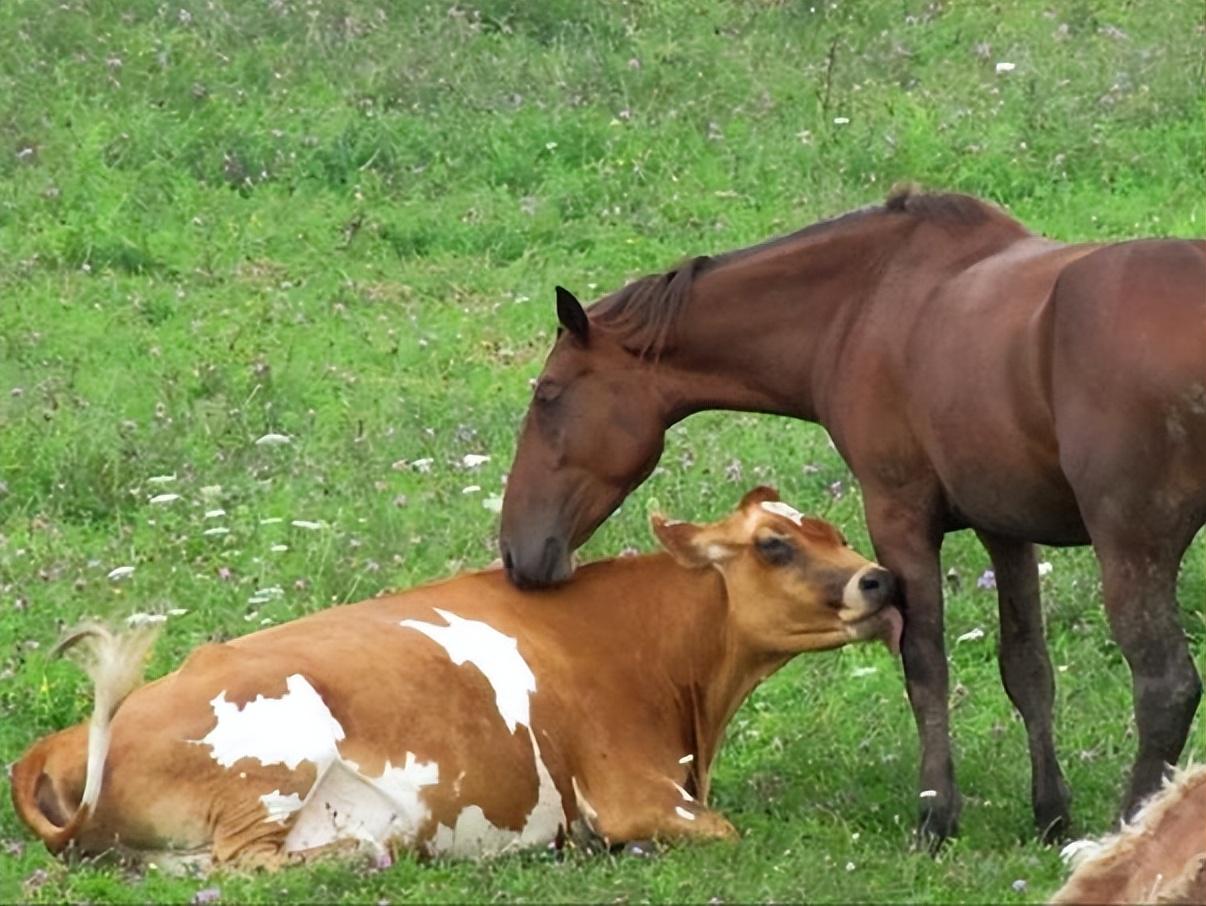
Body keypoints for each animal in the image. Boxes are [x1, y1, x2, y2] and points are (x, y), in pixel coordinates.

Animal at [14, 484, 902, 868]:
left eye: (835, 530)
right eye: (775, 545)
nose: (881, 580)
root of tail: (53, 746)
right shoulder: (636, 795)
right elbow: (725, 832)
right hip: (275, 761)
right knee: (252, 866)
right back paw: (367, 851)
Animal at [496, 188, 1206, 849]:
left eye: (550, 396)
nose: (514, 552)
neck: (867, 300)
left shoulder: (899, 516)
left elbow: (924, 665)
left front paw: (935, 817)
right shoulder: (1004, 528)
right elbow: (1027, 670)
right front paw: (1050, 814)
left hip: (1131, 547)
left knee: (1166, 687)